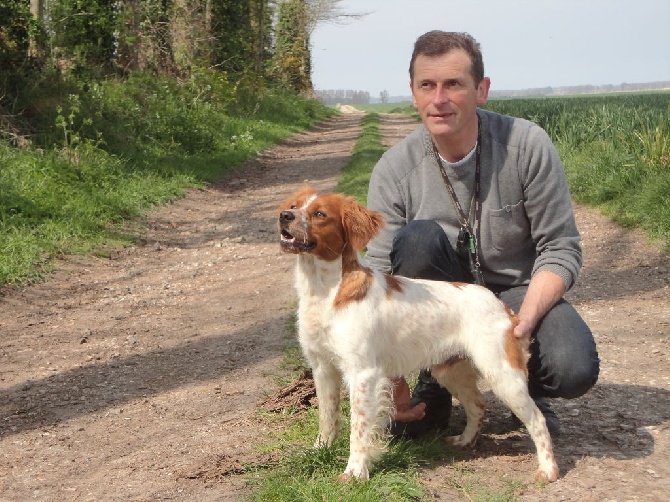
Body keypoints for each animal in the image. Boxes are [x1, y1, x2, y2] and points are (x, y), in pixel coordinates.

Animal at [276, 185, 560, 482]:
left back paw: (548, 469)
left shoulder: (362, 373)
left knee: (537, 419)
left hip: (502, 374)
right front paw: (320, 451)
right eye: (294, 206)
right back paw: (465, 440)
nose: (285, 216)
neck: (324, 292)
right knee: (477, 405)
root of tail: (503, 307)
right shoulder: (323, 368)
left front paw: (355, 471)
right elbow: (327, 417)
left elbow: (359, 428)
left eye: (320, 214)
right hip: (451, 371)